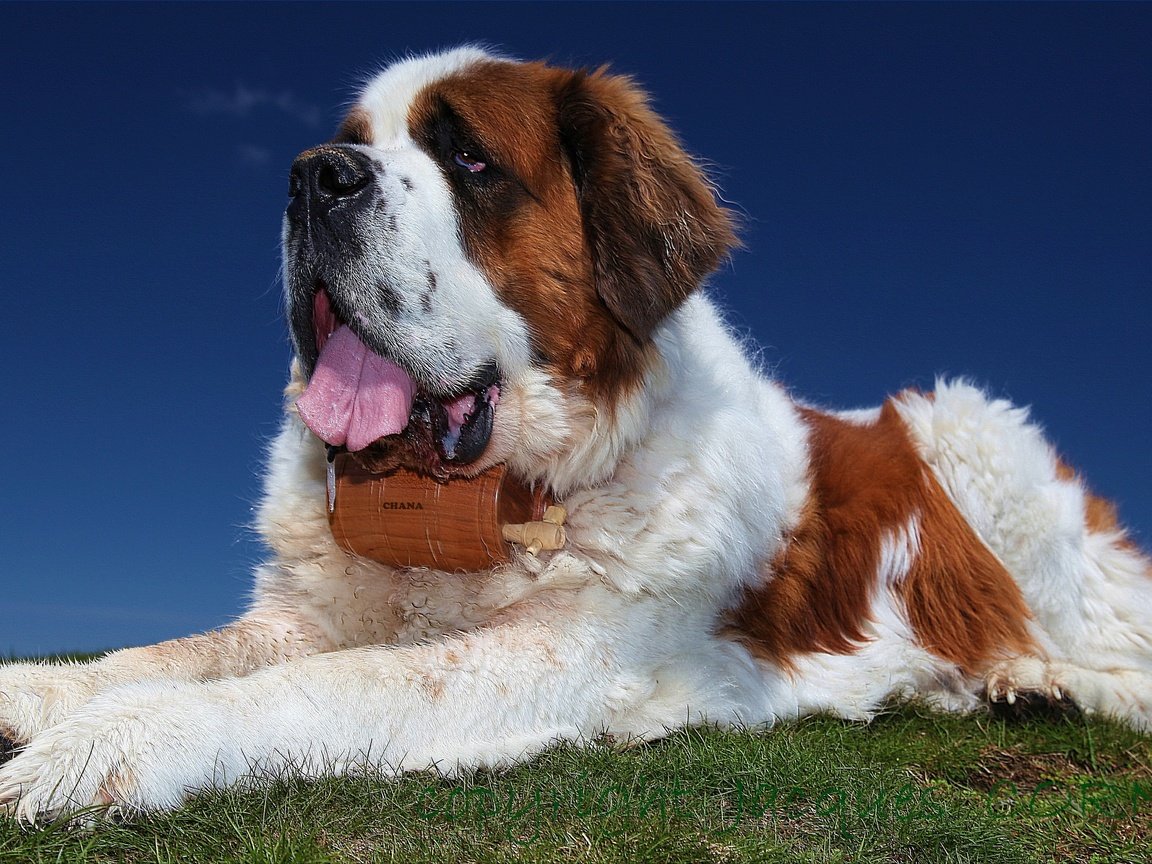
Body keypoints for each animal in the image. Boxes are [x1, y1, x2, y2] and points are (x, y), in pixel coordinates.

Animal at [2, 48, 1152, 824]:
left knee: (1109, 650)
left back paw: (1039, 681)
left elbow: (319, 685)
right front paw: (44, 695)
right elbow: (173, 651)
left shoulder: (565, 655)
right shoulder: (309, 614)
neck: (479, 499)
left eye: (468, 159)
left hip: (967, 430)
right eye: (354, 142)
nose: (312, 175)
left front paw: (108, 744)